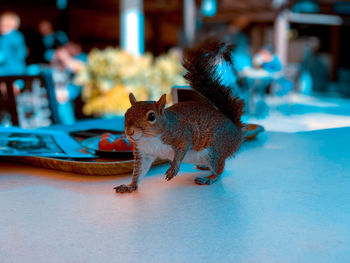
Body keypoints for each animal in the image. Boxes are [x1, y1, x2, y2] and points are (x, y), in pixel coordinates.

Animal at [114, 41, 243, 194]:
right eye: (126, 113)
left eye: (152, 116)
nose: (129, 132)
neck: (149, 138)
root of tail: (236, 131)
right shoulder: (143, 153)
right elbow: (139, 172)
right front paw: (130, 186)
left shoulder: (181, 135)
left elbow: (182, 149)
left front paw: (173, 169)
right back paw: (203, 167)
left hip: (215, 149)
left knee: (220, 169)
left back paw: (209, 177)